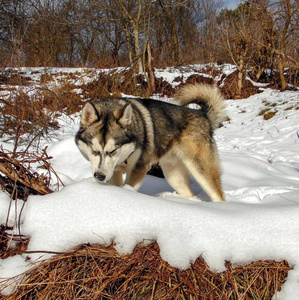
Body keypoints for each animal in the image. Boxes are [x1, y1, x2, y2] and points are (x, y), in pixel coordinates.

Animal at [75, 83, 227, 203]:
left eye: (113, 150)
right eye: (94, 150)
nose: (100, 176)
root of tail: (204, 115)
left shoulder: (139, 168)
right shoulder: (114, 172)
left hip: (200, 168)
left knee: (217, 195)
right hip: (173, 174)